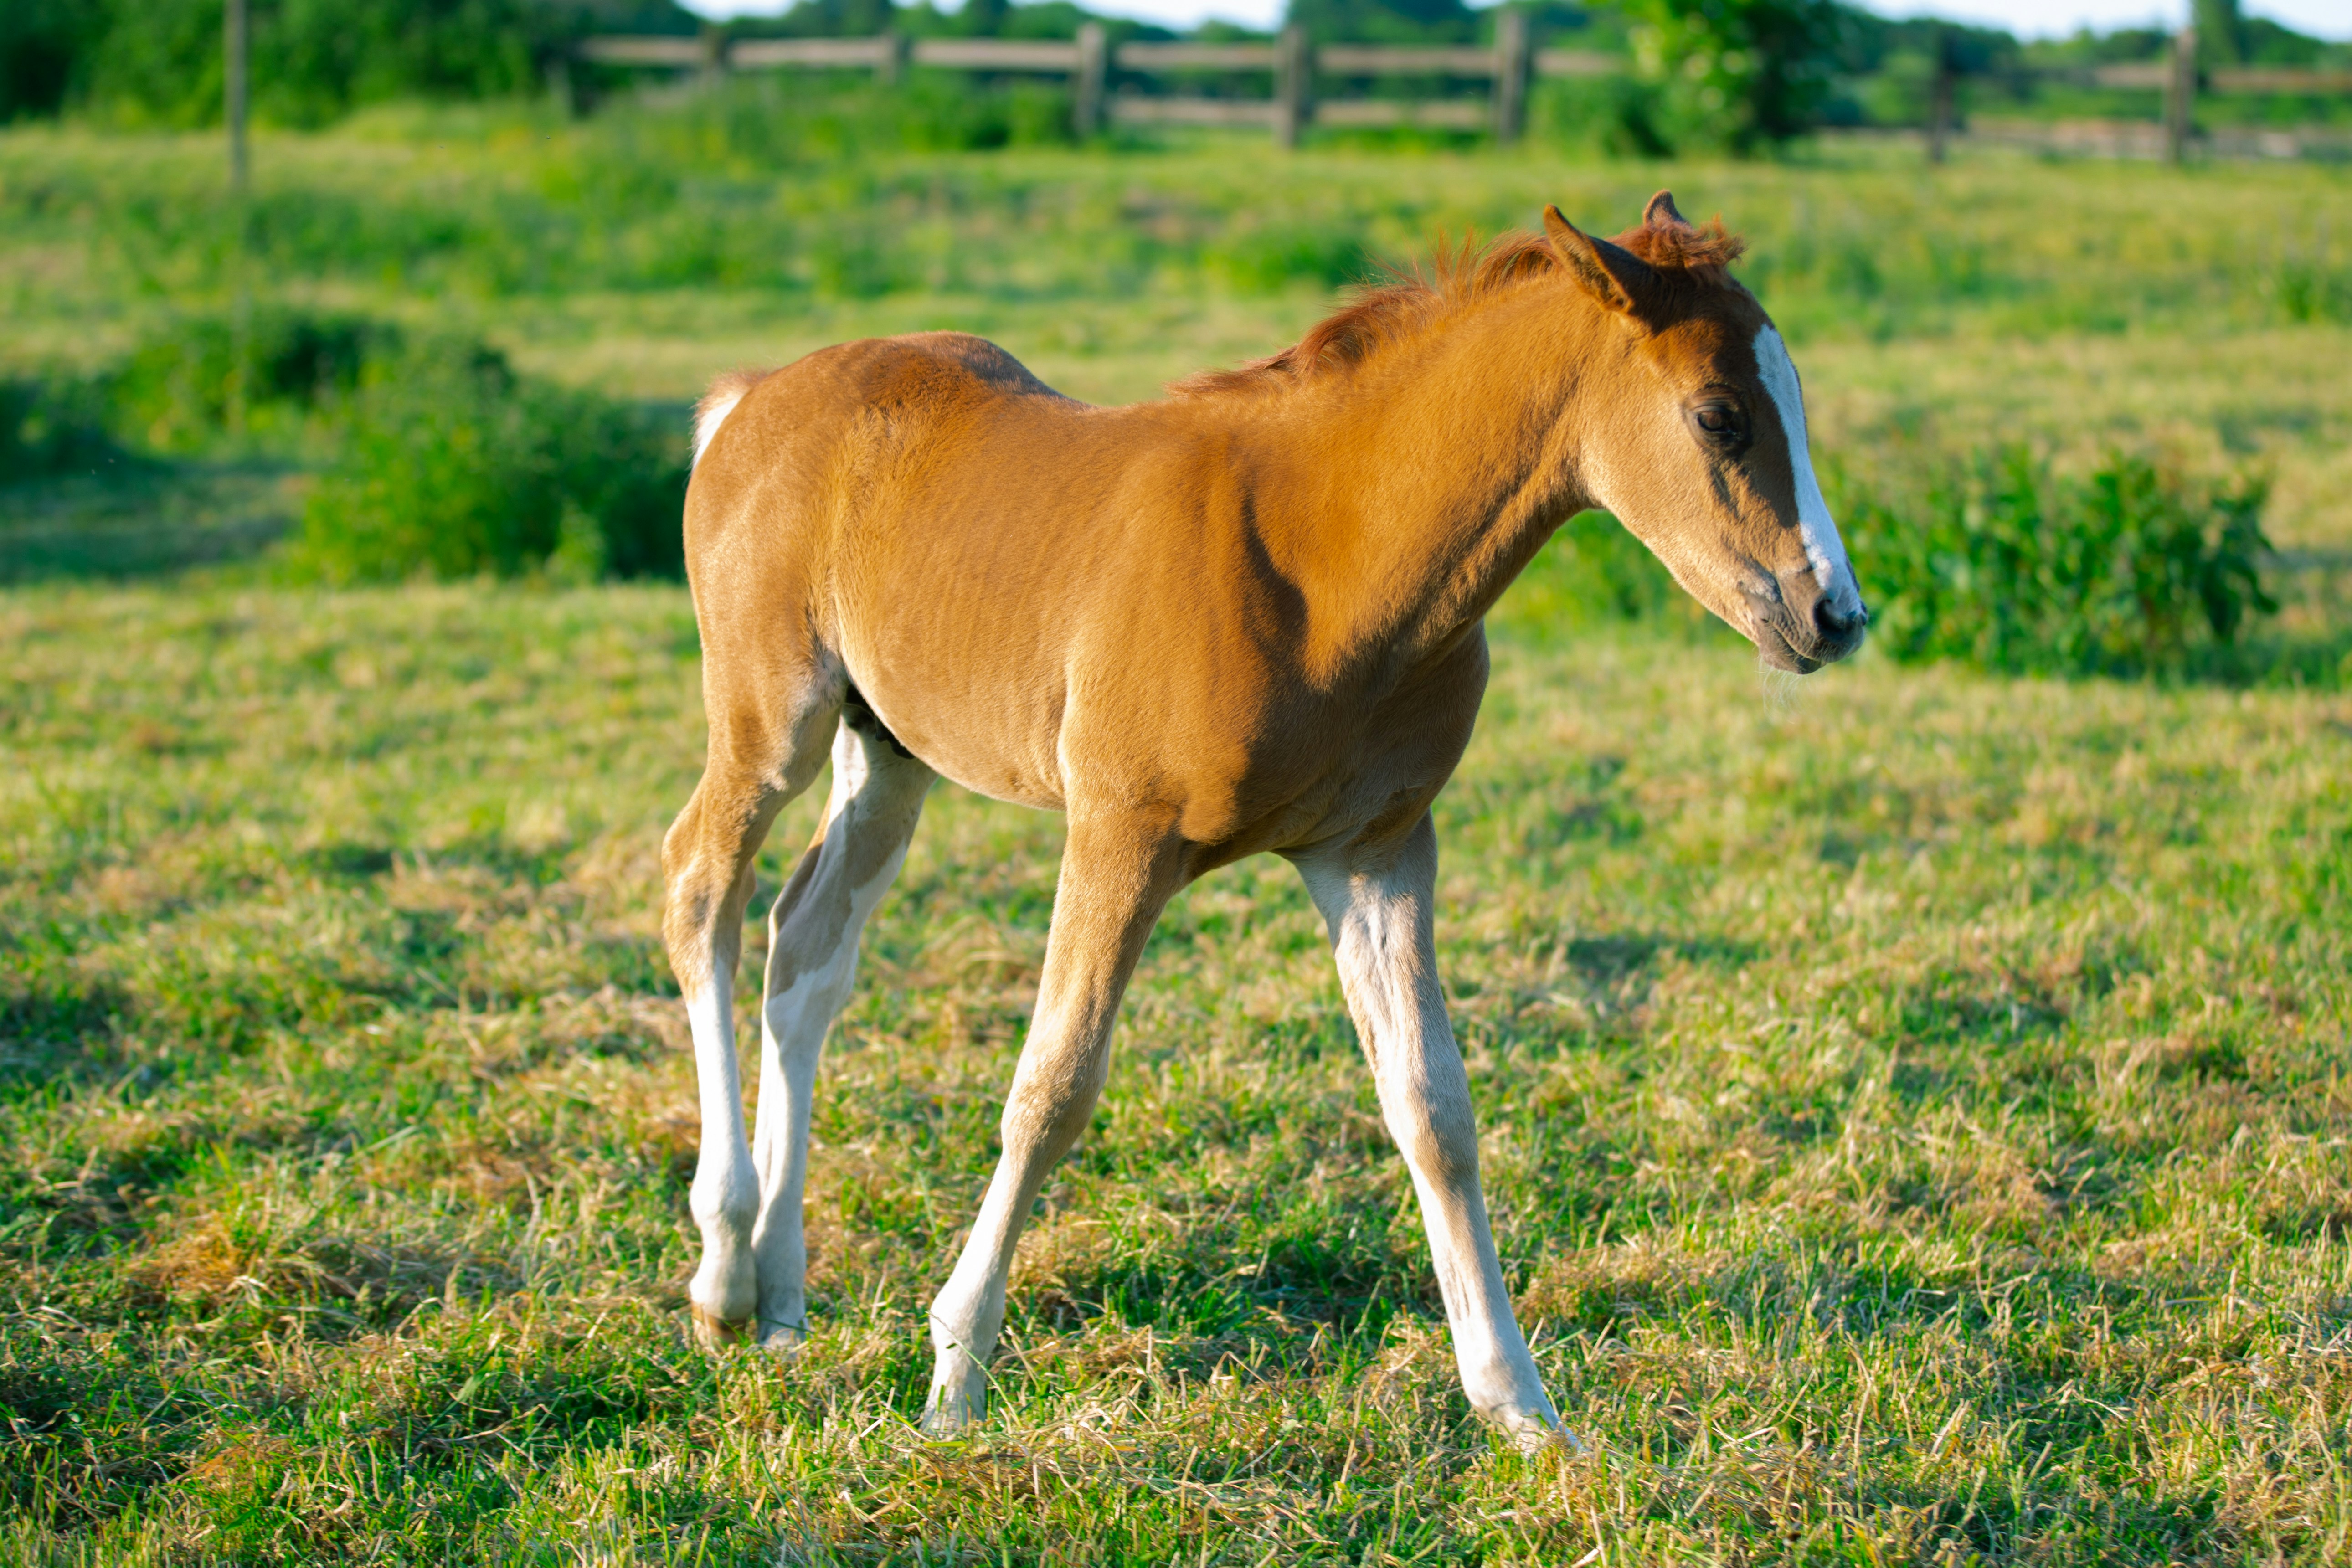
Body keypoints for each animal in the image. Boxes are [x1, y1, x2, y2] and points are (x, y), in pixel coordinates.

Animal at [661, 191, 1867, 1449]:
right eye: (1720, 415)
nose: (1833, 613)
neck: (1319, 560)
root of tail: (752, 395)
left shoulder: (1377, 849)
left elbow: (1434, 1109)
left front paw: (1524, 1407)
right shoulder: (1120, 834)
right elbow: (1052, 1088)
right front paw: (954, 1380)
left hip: (890, 750)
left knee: (808, 945)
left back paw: (781, 1295)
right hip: (775, 722)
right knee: (700, 890)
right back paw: (722, 1272)